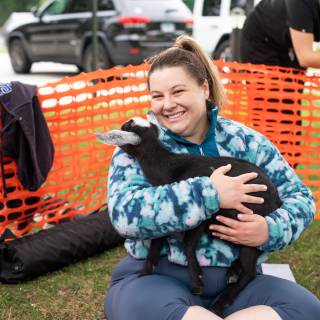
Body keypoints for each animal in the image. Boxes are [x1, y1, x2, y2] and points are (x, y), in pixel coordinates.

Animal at [96, 117, 282, 316]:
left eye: (126, 127)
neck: (168, 167)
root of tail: (277, 199)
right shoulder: (167, 216)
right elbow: (157, 240)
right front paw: (146, 271)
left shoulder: (200, 215)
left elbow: (187, 244)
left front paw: (197, 281)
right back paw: (232, 272)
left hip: (250, 224)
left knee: (250, 272)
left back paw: (221, 301)